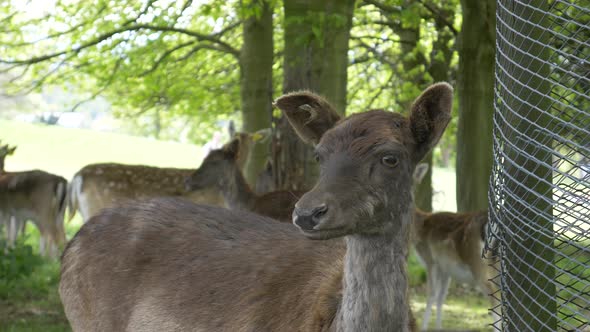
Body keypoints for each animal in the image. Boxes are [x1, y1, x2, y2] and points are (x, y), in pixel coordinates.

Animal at [412, 163, 504, 330]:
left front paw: (423, 328)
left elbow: (431, 295)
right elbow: (441, 298)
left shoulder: (430, 260)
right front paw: (438, 328)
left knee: (496, 304)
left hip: (480, 267)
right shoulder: (445, 268)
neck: (418, 229)